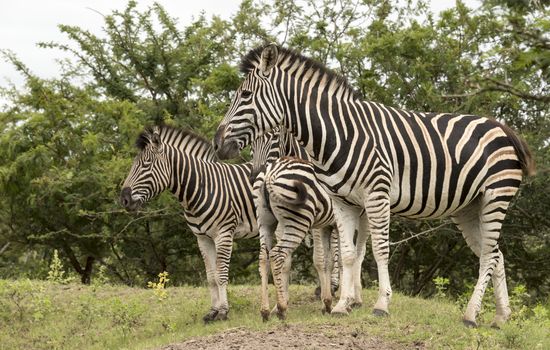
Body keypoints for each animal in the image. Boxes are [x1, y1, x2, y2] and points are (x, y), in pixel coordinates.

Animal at [213, 44, 536, 328]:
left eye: (245, 95)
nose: (217, 144)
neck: (339, 133)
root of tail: (501, 127)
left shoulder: (376, 195)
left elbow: (379, 250)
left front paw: (380, 304)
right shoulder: (344, 202)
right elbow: (348, 254)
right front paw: (342, 305)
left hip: (496, 196)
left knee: (488, 257)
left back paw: (471, 315)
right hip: (468, 207)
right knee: (495, 255)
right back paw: (500, 317)